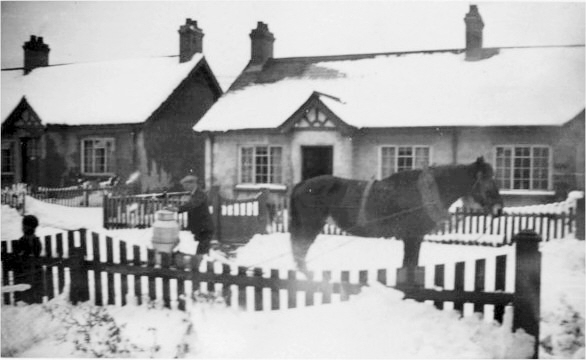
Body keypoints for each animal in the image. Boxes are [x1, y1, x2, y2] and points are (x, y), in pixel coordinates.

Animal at [288, 156, 502, 274]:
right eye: (487, 181)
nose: (499, 209)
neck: (423, 192)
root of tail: (301, 185)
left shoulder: (414, 238)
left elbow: (410, 265)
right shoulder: (412, 237)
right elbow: (409, 265)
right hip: (309, 227)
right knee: (300, 255)